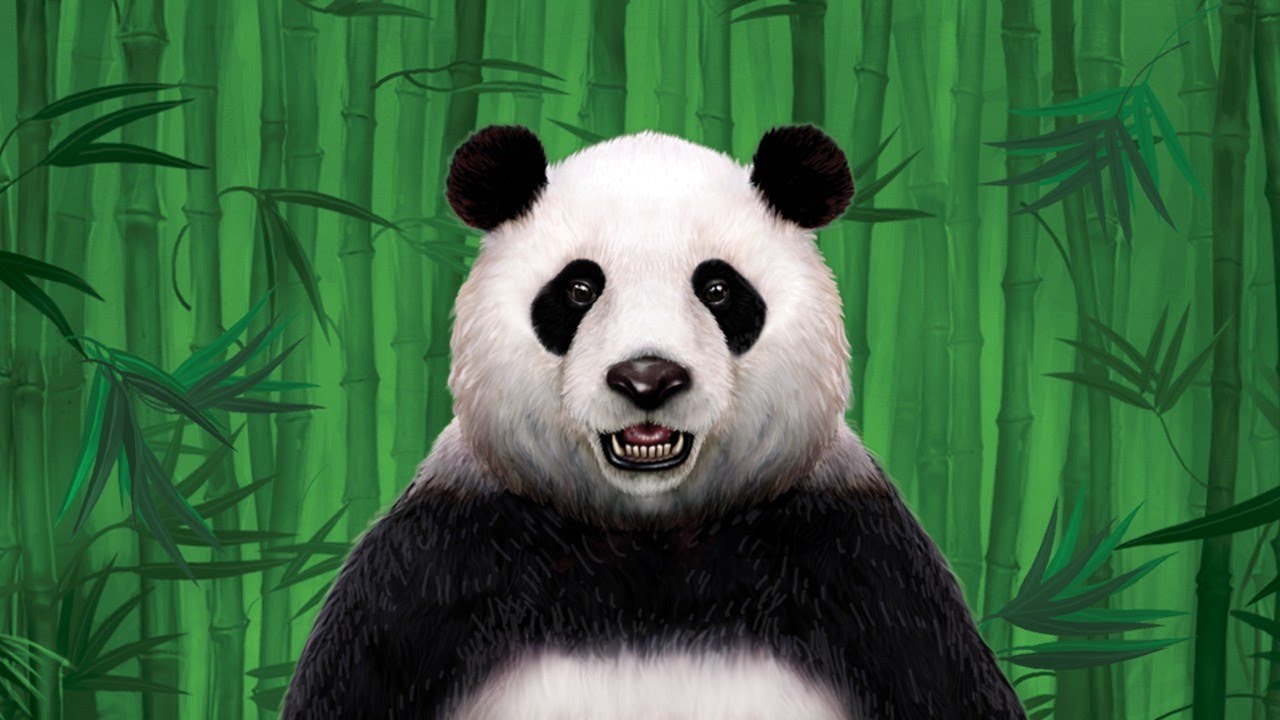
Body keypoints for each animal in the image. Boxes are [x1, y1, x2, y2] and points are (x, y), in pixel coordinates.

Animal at [283, 124, 1025, 719]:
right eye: (579, 288)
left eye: (719, 289)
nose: (647, 378)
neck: (650, 536)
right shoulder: (439, 560)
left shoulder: (858, 561)